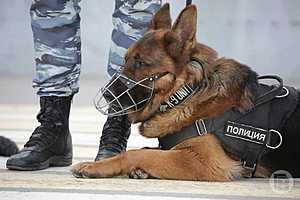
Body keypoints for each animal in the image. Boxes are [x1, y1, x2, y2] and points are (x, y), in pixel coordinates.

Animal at [72, 3, 300, 180]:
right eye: (126, 60)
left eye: (140, 63)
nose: (106, 95)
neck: (185, 94)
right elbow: (148, 151)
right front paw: (140, 170)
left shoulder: (204, 161)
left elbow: (134, 153)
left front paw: (94, 167)